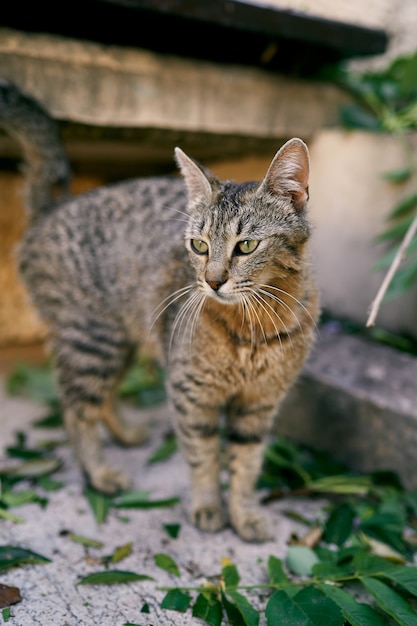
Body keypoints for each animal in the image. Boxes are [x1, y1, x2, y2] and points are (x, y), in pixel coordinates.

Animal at [0, 79, 318, 536]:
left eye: (246, 246)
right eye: (199, 246)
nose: (213, 281)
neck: (253, 326)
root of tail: (55, 207)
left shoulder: (259, 403)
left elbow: (246, 463)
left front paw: (244, 514)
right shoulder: (191, 393)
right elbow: (203, 457)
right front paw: (208, 508)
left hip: (123, 339)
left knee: (102, 396)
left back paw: (125, 434)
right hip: (92, 339)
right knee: (75, 409)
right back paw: (100, 473)